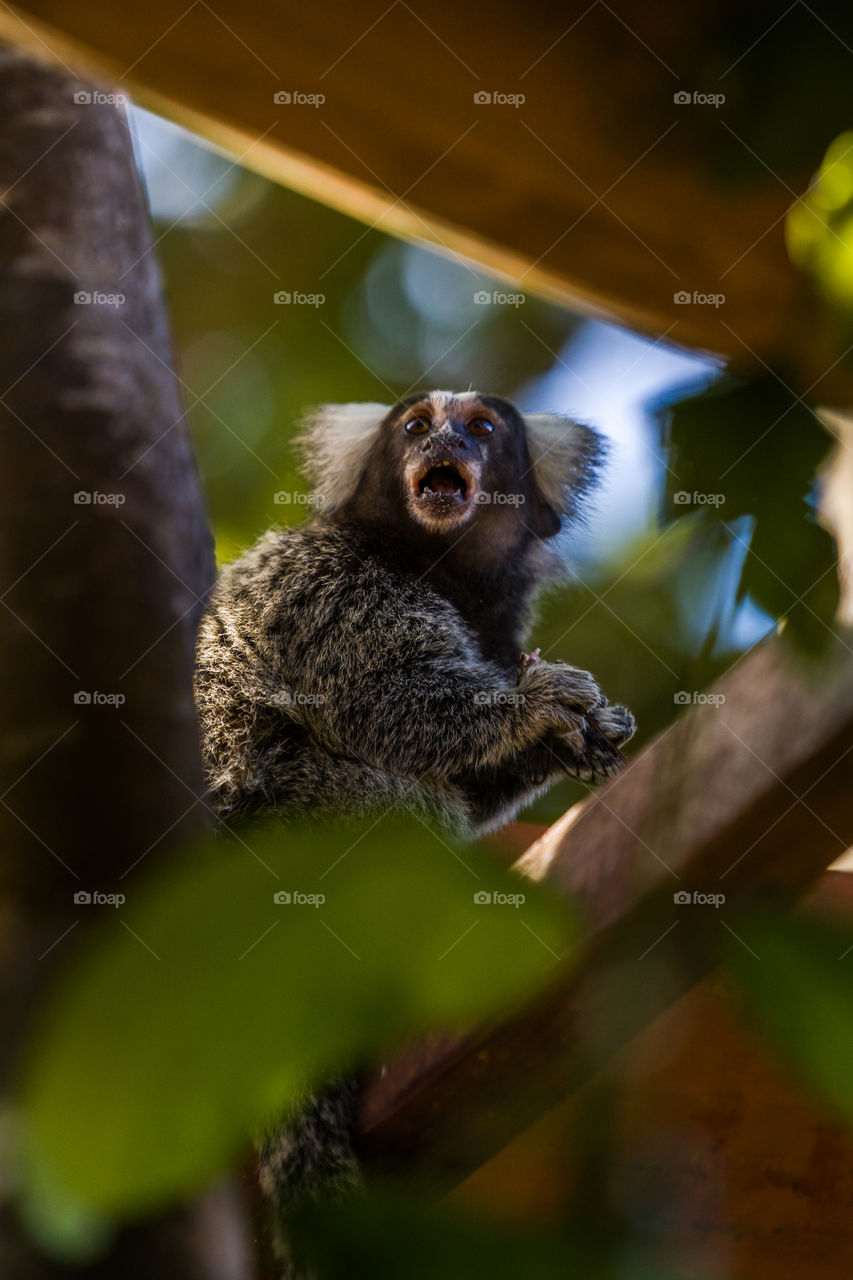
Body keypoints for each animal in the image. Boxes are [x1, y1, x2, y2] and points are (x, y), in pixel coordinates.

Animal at [193, 390, 635, 1277]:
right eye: (416, 426)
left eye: (482, 429)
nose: (446, 444)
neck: (437, 569)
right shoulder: (331, 589)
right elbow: (383, 701)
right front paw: (532, 709)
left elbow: (470, 777)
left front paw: (572, 736)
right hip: (285, 822)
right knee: (396, 805)